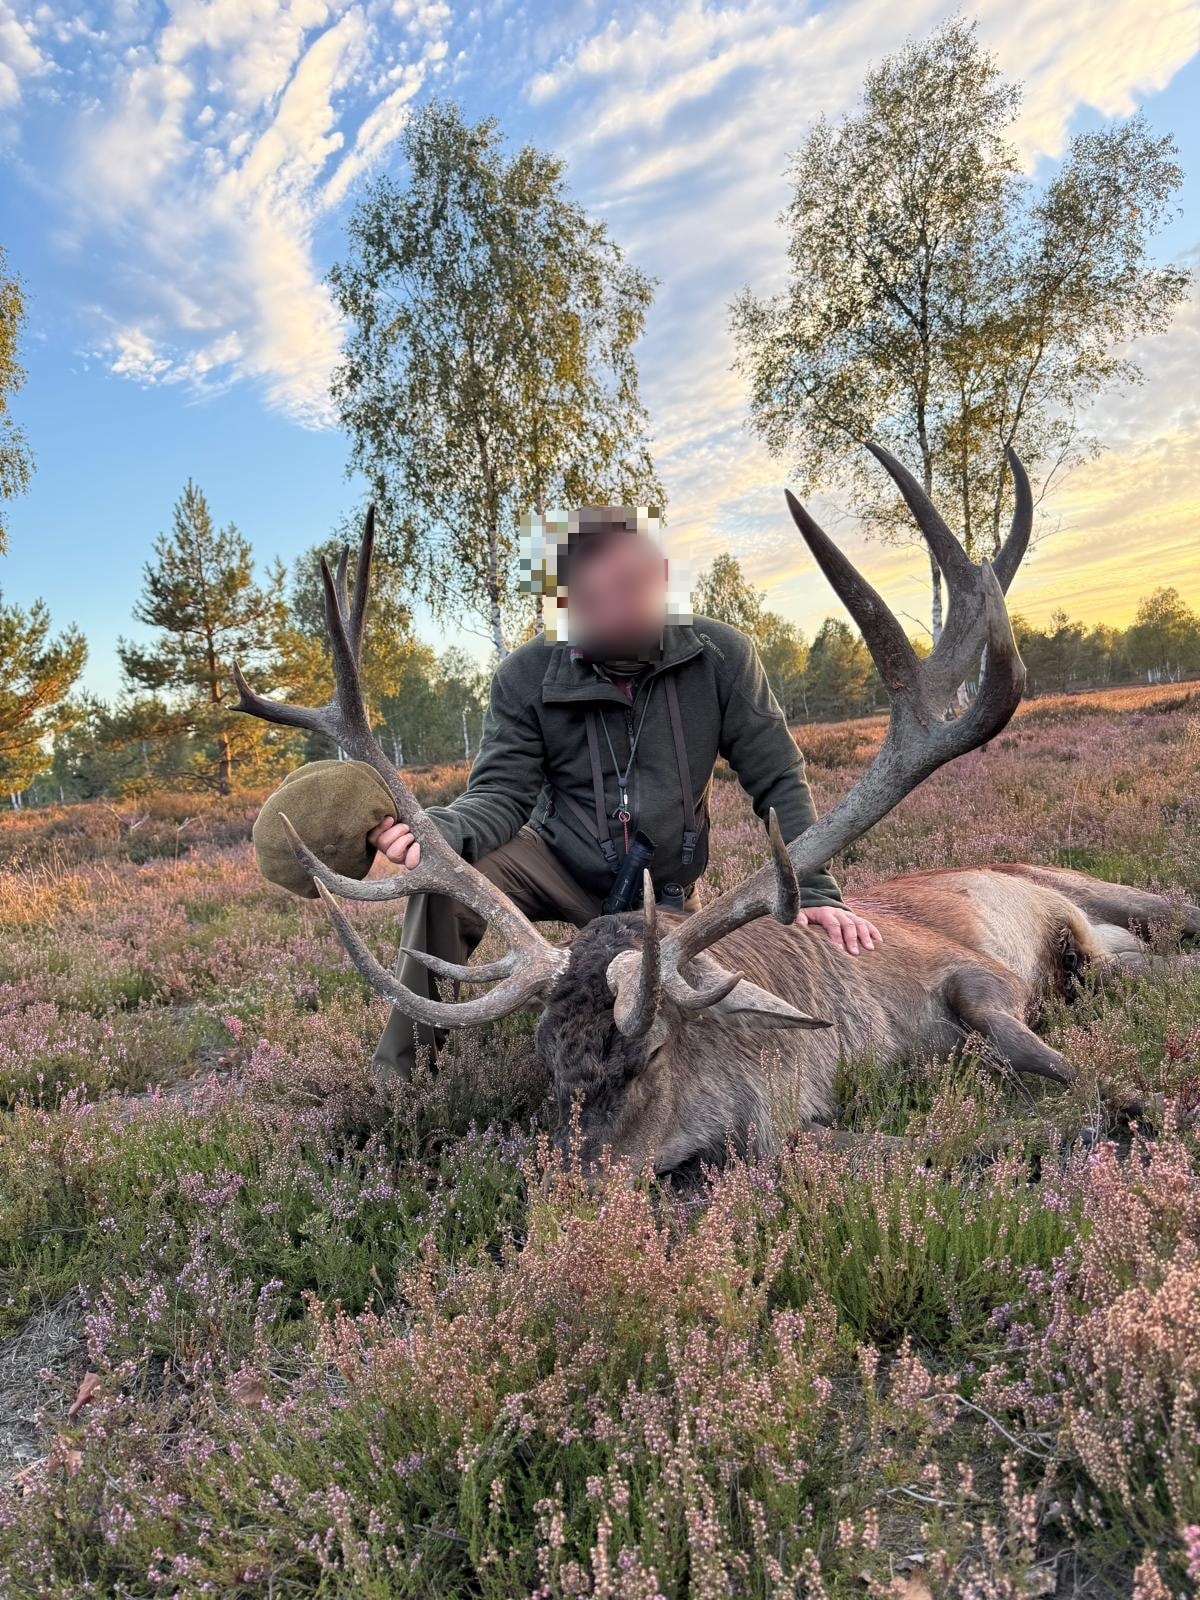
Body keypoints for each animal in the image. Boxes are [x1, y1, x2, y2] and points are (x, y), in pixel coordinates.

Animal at [233, 446, 1200, 1177]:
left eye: (653, 1052)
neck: (822, 1056)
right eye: (546, 1060)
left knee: (1159, 923)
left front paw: (1109, 1100)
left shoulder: (967, 974)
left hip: (1099, 887)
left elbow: (1041, 1053)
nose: (570, 1192)